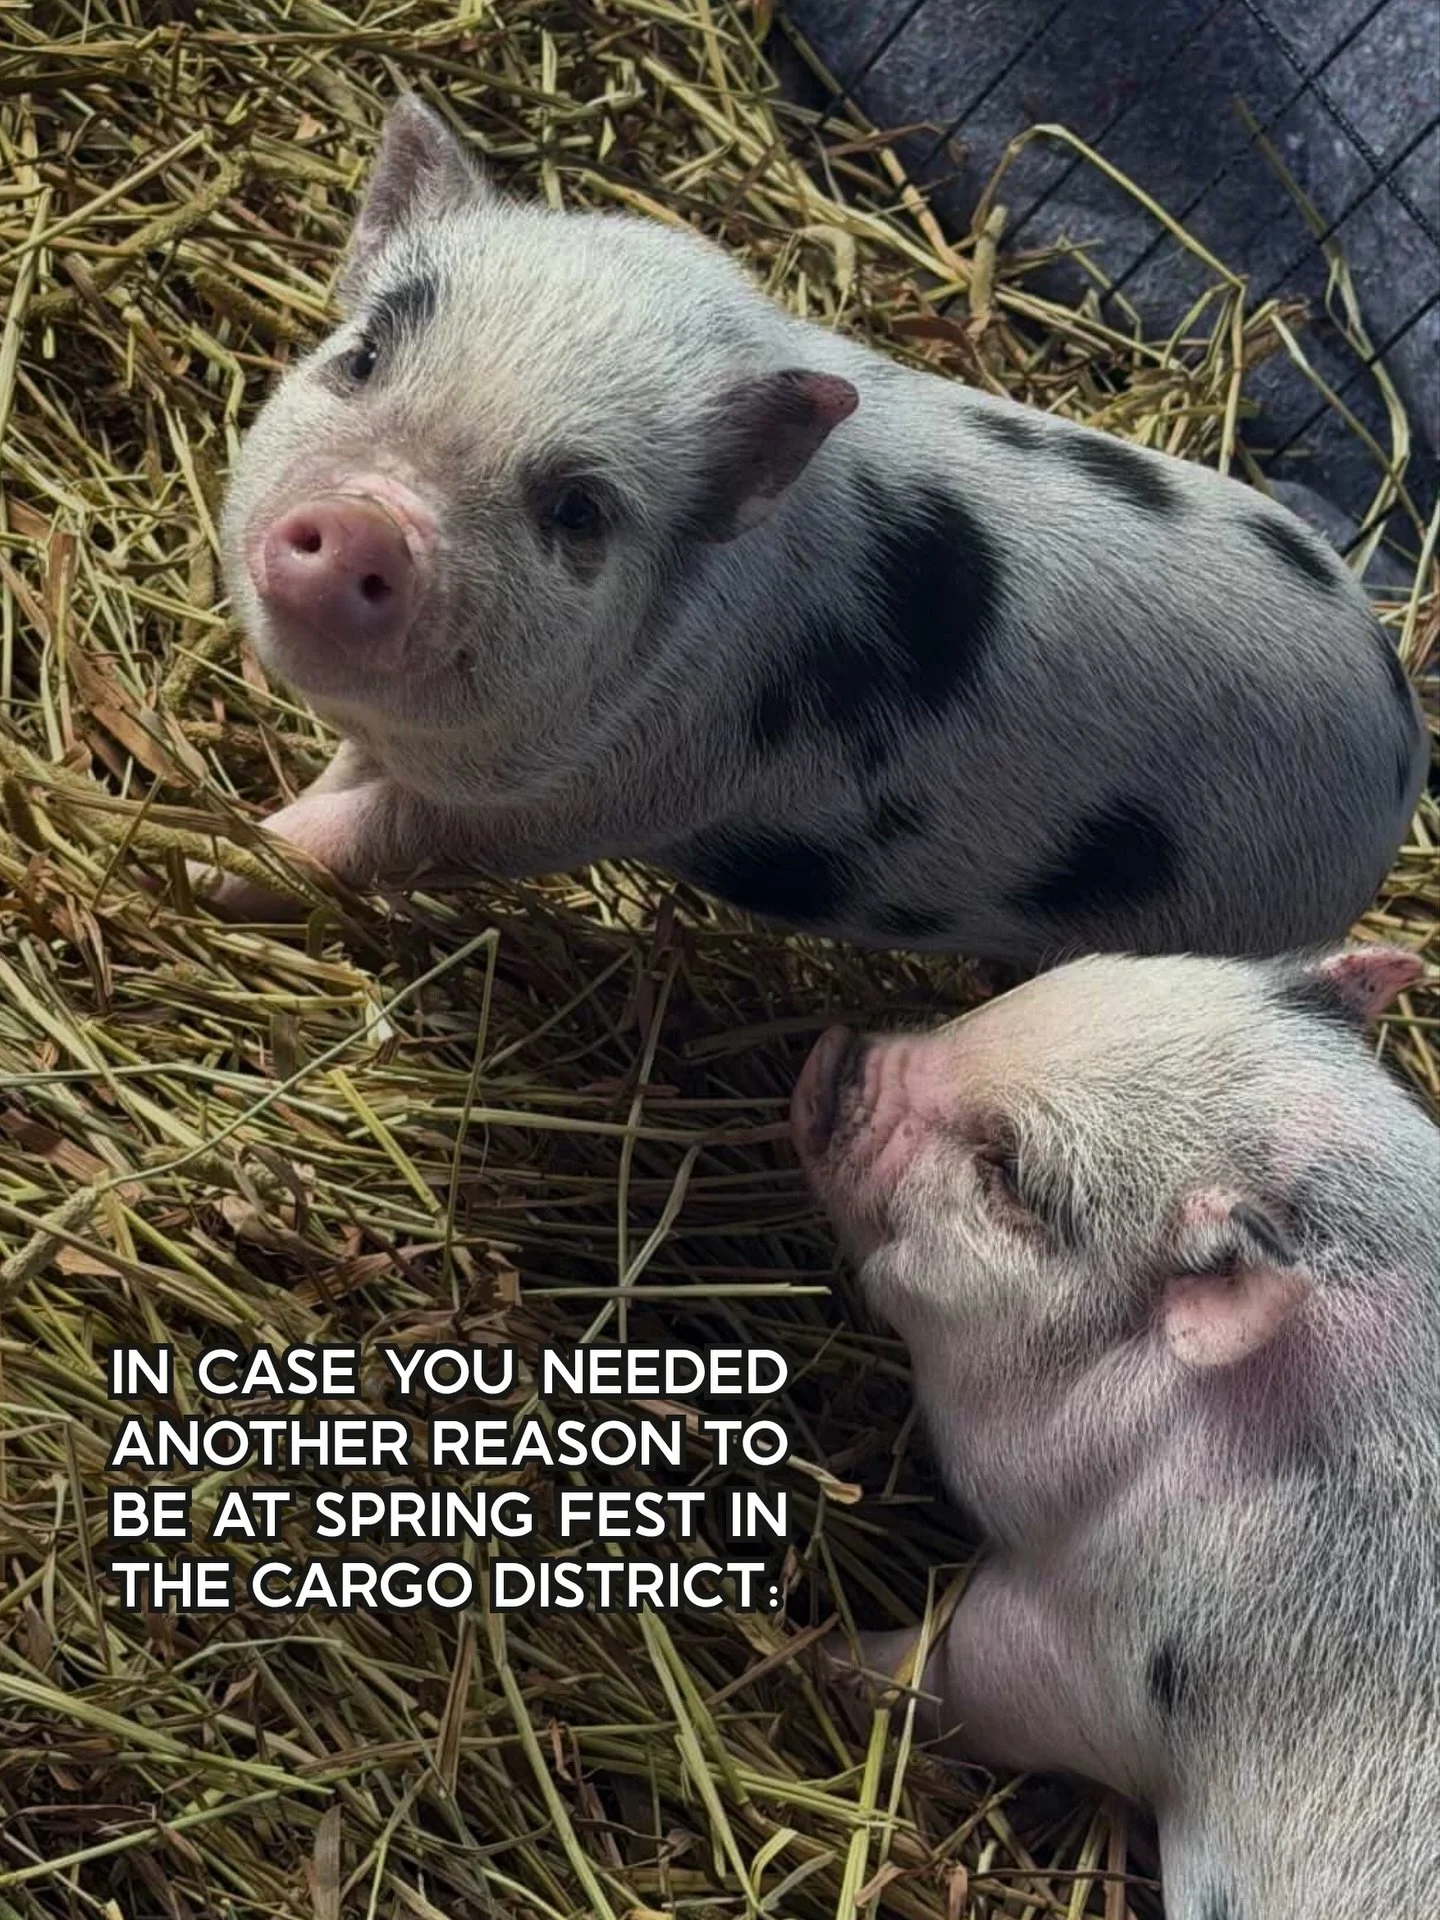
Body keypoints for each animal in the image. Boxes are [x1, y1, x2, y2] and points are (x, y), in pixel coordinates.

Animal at [214, 94, 1428, 965]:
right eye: (364, 357)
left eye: (577, 508)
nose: (367, 527)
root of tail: (1403, 744)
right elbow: (344, 785)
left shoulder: (591, 798)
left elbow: (375, 837)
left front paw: (224, 871)